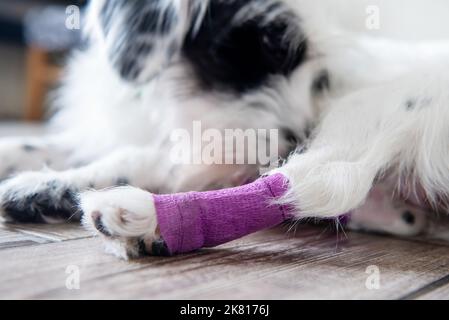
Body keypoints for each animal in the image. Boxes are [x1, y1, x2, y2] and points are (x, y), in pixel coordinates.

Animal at [0, 0, 448, 258]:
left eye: (320, 77)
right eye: (268, 45)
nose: (296, 140)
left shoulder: (216, 151)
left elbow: (131, 158)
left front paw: (48, 185)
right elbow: (55, 144)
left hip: (370, 110)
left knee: (318, 184)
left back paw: (143, 219)